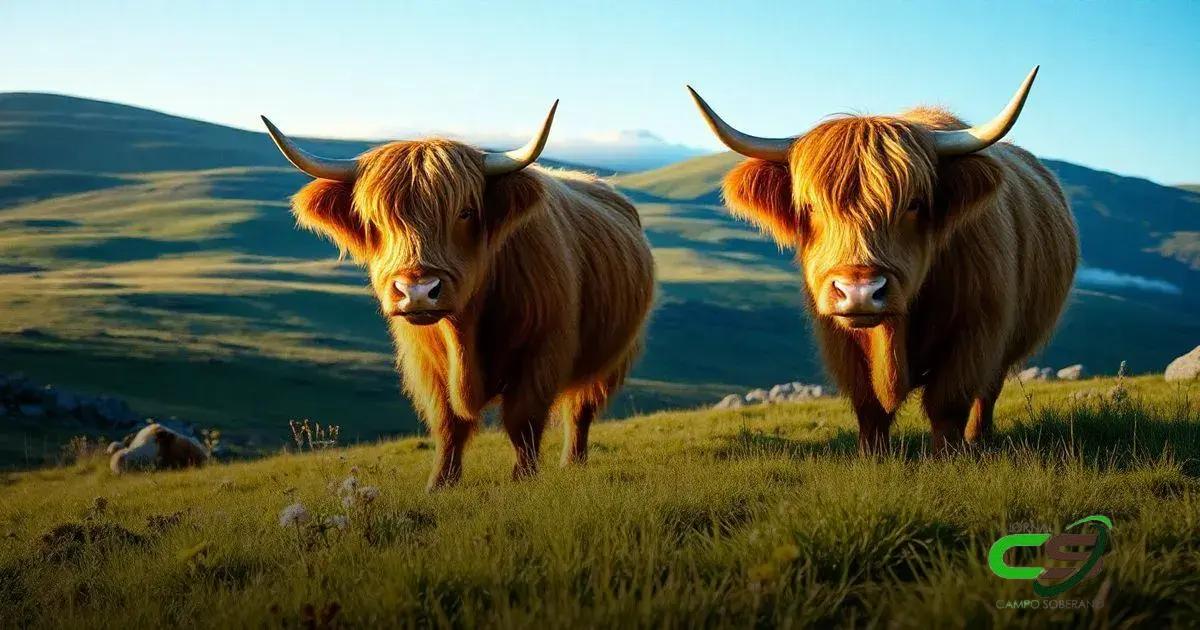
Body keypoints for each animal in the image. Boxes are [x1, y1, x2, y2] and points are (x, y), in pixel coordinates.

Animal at [262, 102, 655, 489]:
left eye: (465, 212)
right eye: (375, 220)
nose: (418, 291)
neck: (464, 332)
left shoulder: (542, 350)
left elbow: (523, 420)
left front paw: (524, 480)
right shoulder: (425, 363)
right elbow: (448, 422)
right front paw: (440, 484)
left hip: (612, 358)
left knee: (581, 409)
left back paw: (573, 463)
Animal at [688, 67, 1078, 454]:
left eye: (915, 203)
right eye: (811, 206)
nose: (859, 291)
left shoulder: (976, 332)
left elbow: (948, 405)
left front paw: (948, 458)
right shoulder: (841, 341)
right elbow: (870, 407)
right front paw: (872, 457)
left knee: (988, 392)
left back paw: (978, 440)